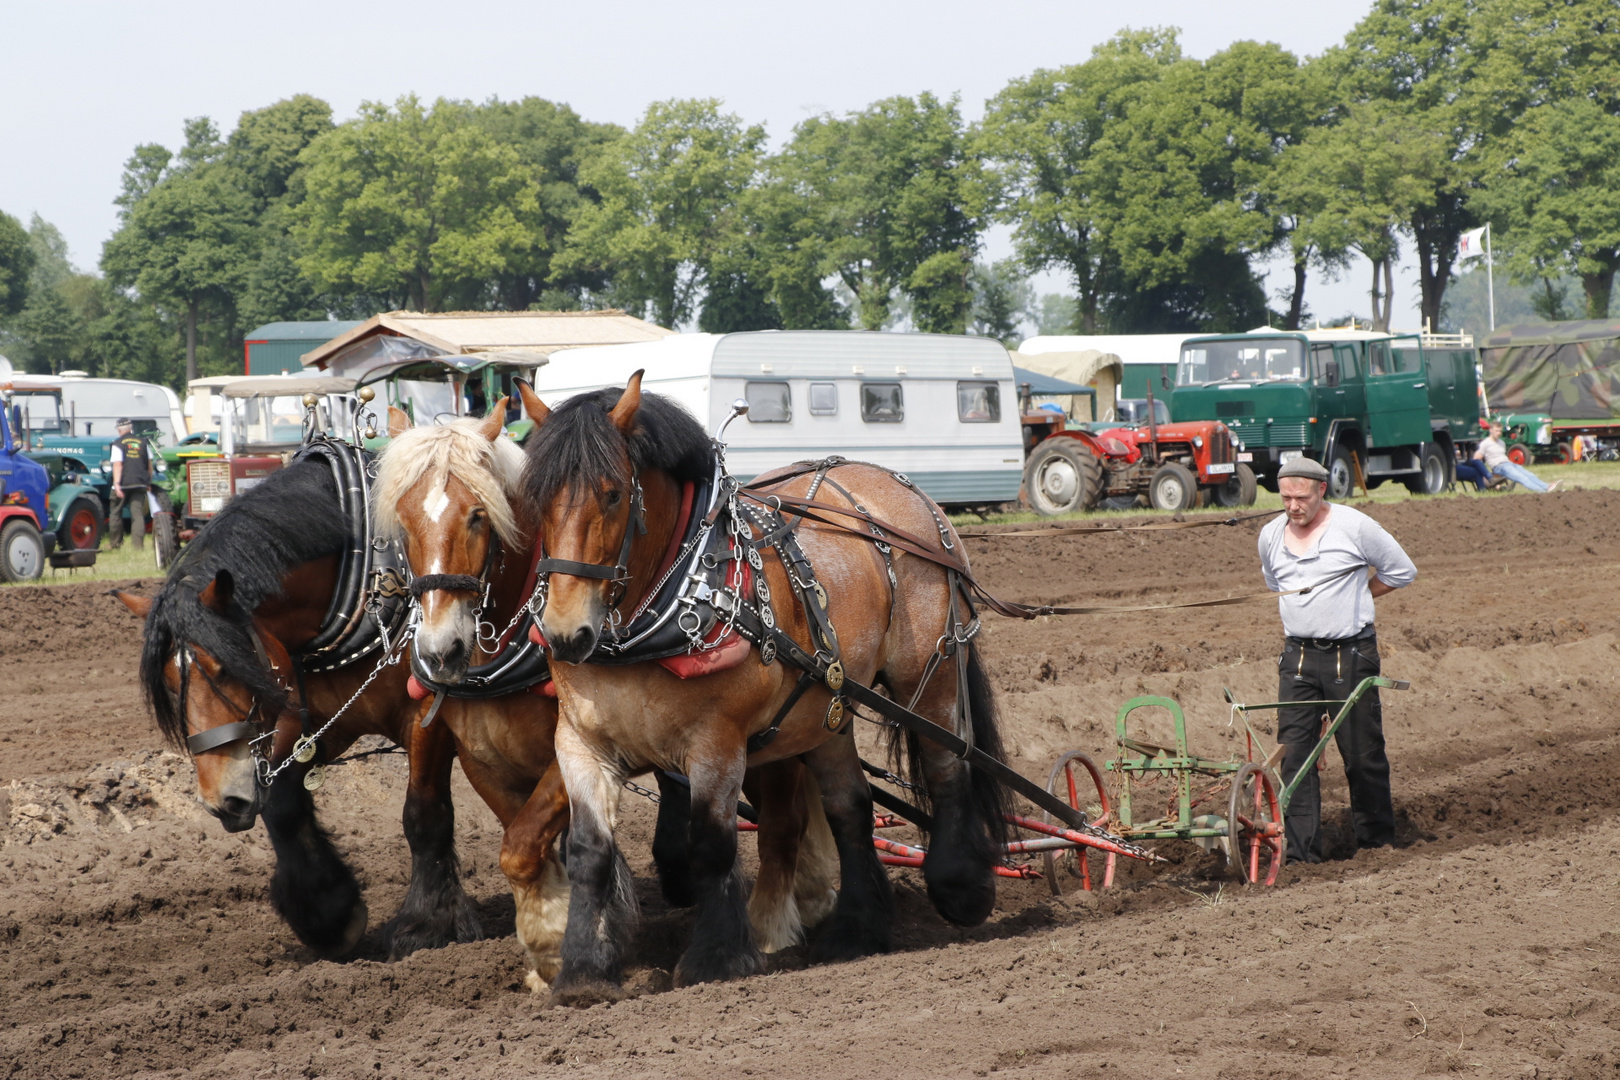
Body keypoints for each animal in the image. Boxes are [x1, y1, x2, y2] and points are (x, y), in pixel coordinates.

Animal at [117, 453, 476, 958]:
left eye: (227, 666)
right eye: (171, 682)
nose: (221, 801)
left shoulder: (433, 718)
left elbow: (424, 813)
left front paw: (426, 925)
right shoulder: (311, 717)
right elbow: (282, 805)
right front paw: (328, 913)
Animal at [508, 374, 1010, 1003]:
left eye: (614, 495)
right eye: (535, 502)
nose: (564, 633)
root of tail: (903, 490)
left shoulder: (716, 743)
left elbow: (710, 845)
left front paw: (717, 959)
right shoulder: (580, 743)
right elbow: (589, 853)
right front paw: (581, 972)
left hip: (930, 671)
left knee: (948, 766)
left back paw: (960, 889)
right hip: (828, 704)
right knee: (851, 806)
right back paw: (856, 930)